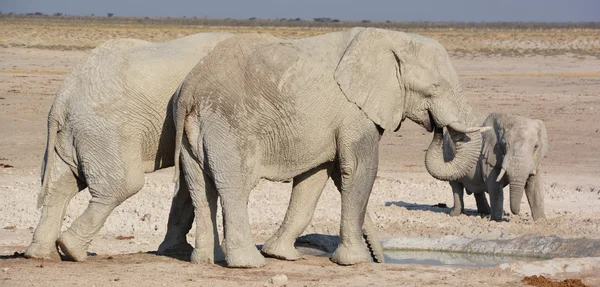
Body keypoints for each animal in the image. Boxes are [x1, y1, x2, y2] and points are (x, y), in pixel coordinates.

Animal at [23, 32, 236, 262]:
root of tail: (61, 99)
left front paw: (176, 251)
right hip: (105, 131)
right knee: (124, 185)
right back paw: (72, 250)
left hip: (70, 134)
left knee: (59, 185)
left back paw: (42, 254)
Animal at [172, 28, 488, 268]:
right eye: (435, 87)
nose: (437, 128)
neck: (390, 39)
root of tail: (189, 88)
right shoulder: (354, 112)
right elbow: (359, 170)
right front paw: (355, 261)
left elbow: (314, 179)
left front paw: (282, 255)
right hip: (229, 126)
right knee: (235, 187)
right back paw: (248, 264)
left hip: (194, 133)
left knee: (200, 188)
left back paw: (206, 260)